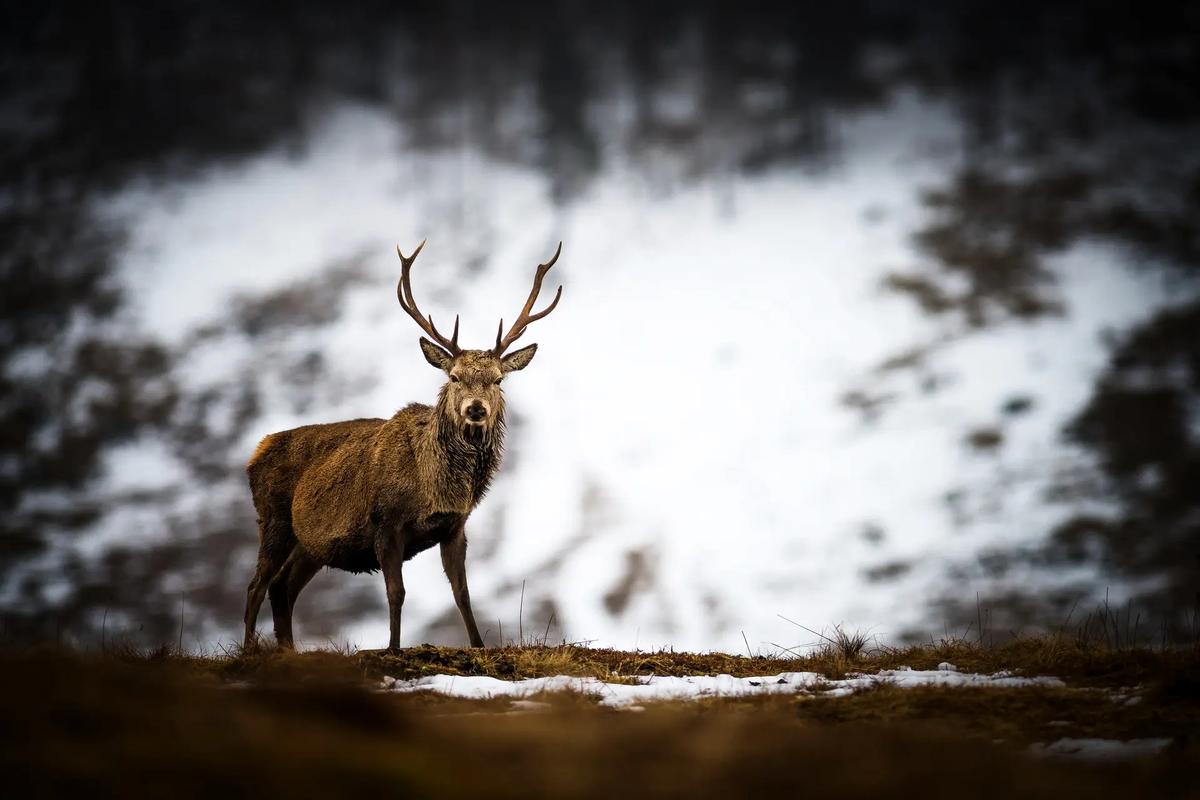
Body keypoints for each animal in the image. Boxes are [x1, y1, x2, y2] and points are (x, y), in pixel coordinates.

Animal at [242, 240, 563, 652]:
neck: (434, 487)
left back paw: (289, 651)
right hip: (274, 519)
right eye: (454, 376)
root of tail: (257, 452)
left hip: (310, 544)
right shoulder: (385, 522)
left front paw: (478, 646)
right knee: (256, 585)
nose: (475, 409)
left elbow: (463, 593)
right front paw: (393, 647)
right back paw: (249, 649)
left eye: (498, 380)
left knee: (282, 587)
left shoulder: (455, 527)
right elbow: (396, 593)